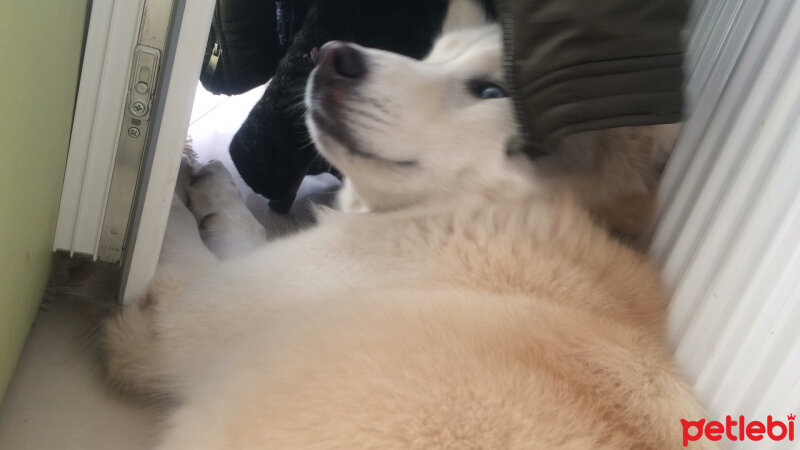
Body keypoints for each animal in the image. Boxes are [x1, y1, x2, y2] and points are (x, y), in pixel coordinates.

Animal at [103, 7, 708, 450]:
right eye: (430, 57)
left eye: (491, 92)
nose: (333, 53)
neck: (479, 210)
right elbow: (246, 231)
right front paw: (209, 186)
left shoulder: (200, 307)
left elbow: (180, 237)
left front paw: (171, 181)